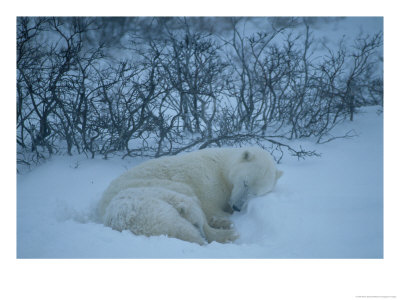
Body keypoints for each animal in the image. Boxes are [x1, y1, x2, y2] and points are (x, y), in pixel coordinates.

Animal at [97, 146, 282, 245]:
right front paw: (226, 217)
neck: (221, 166)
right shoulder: (207, 181)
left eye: (255, 193)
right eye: (245, 182)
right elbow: (209, 205)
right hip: (154, 189)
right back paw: (226, 229)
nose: (236, 206)